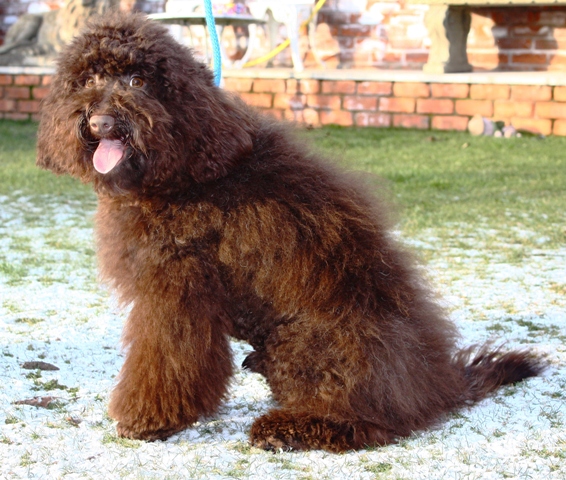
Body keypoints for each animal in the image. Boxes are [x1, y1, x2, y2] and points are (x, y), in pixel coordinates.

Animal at [35, 12, 544, 454]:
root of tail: (439, 382)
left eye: (138, 82)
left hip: (315, 341)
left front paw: (146, 420)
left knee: (372, 418)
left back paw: (289, 428)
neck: (183, 170)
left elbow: (165, 357)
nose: (100, 122)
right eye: (88, 80)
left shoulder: (176, 291)